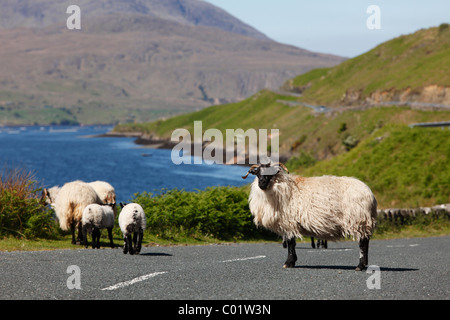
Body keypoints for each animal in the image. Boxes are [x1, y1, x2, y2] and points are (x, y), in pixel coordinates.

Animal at [243, 162, 376, 270]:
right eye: (257, 173)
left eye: (271, 173)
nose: (262, 183)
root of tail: (370, 194)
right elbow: (291, 243)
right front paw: (291, 262)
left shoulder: (289, 223)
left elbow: (291, 243)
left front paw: (289, 263)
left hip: (358, 219)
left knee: (363, 243)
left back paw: (360, 266)